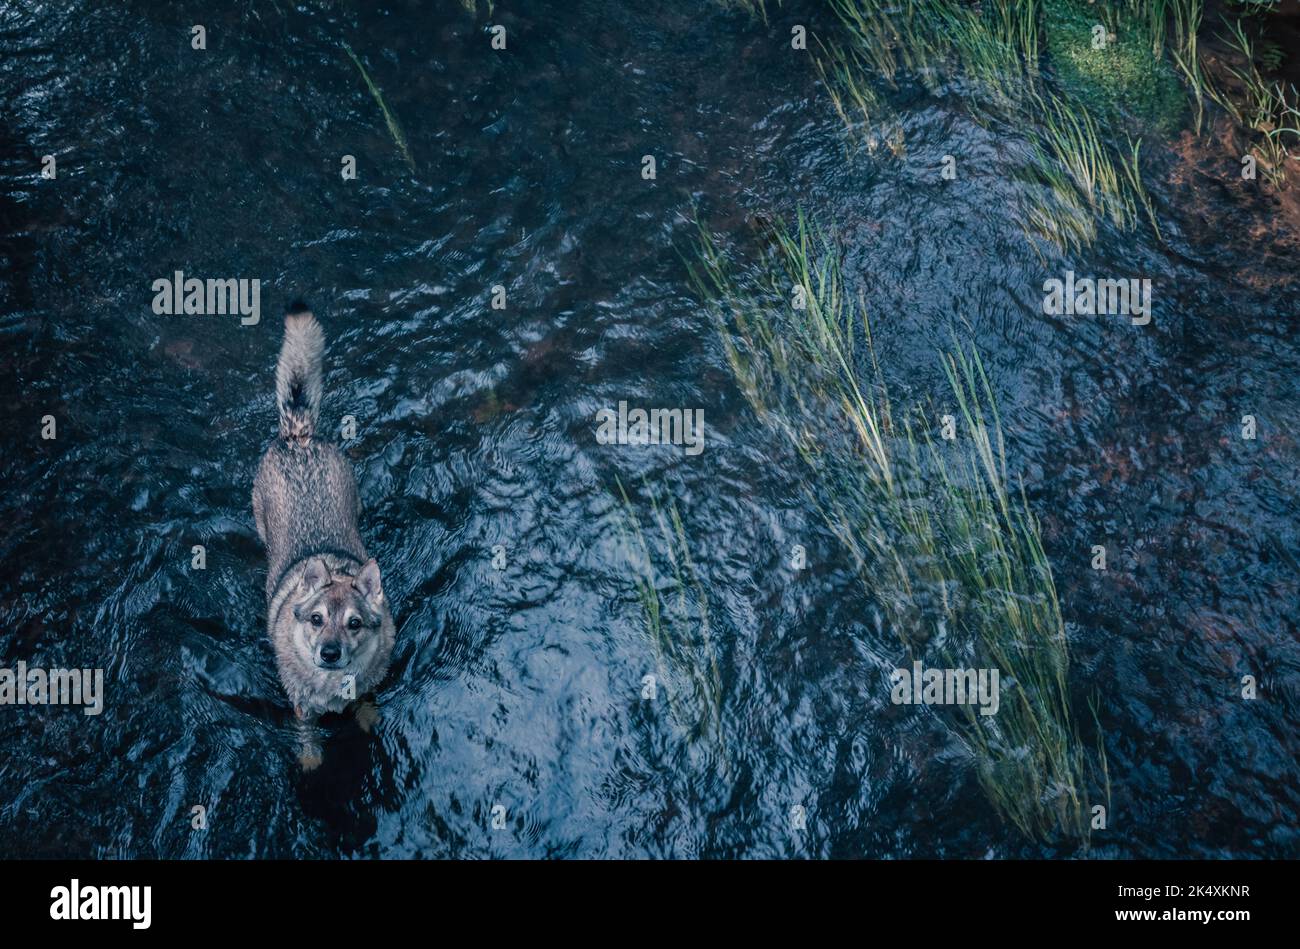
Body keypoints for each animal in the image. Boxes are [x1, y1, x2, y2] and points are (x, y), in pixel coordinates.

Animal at [252, 302, 395, 769]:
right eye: (316, 619)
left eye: (354, 623)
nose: (329, 653)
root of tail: (299, 436)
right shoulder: (301, 706)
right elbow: (307, 732)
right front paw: (312, 761)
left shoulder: (369, 684)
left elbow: (365, 701)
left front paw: (367, 721)